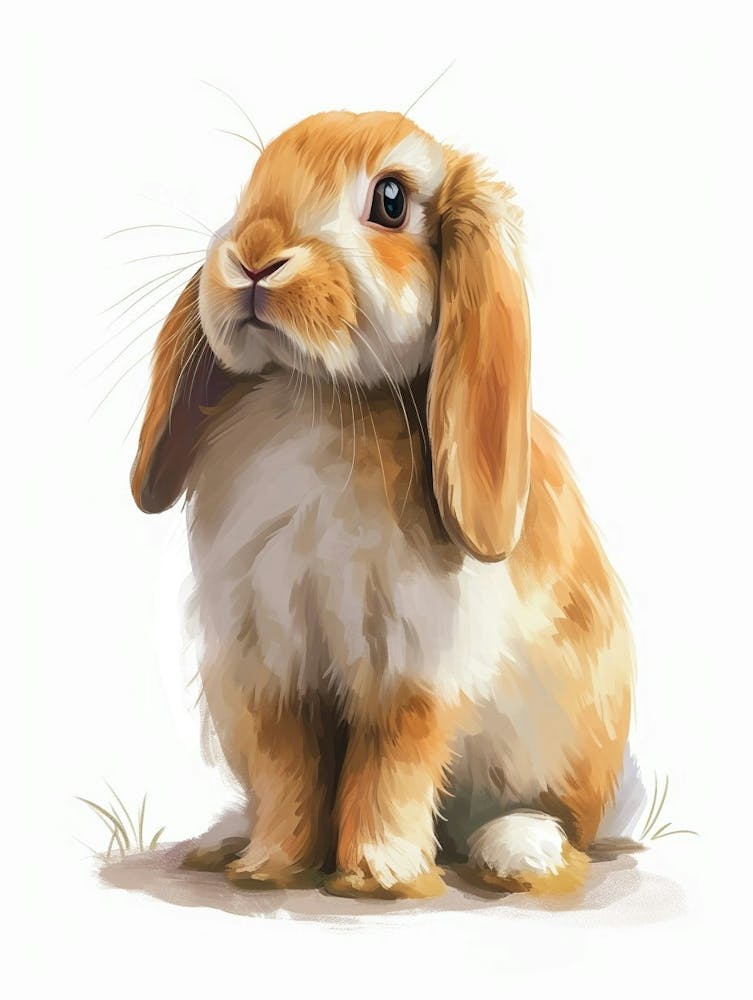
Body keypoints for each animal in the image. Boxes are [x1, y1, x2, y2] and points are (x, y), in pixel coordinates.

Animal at [131, 110, 634, 899]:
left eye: (391, 202)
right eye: (253, 182)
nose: (254, 257)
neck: (318, 396)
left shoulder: (411, 660)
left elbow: (390, 762)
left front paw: (376, 878)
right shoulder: (265, 659)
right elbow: (288, 770)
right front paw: (267, 869)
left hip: (561, 741)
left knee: (549, 816)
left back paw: (519, 852)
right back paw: (224, 842)